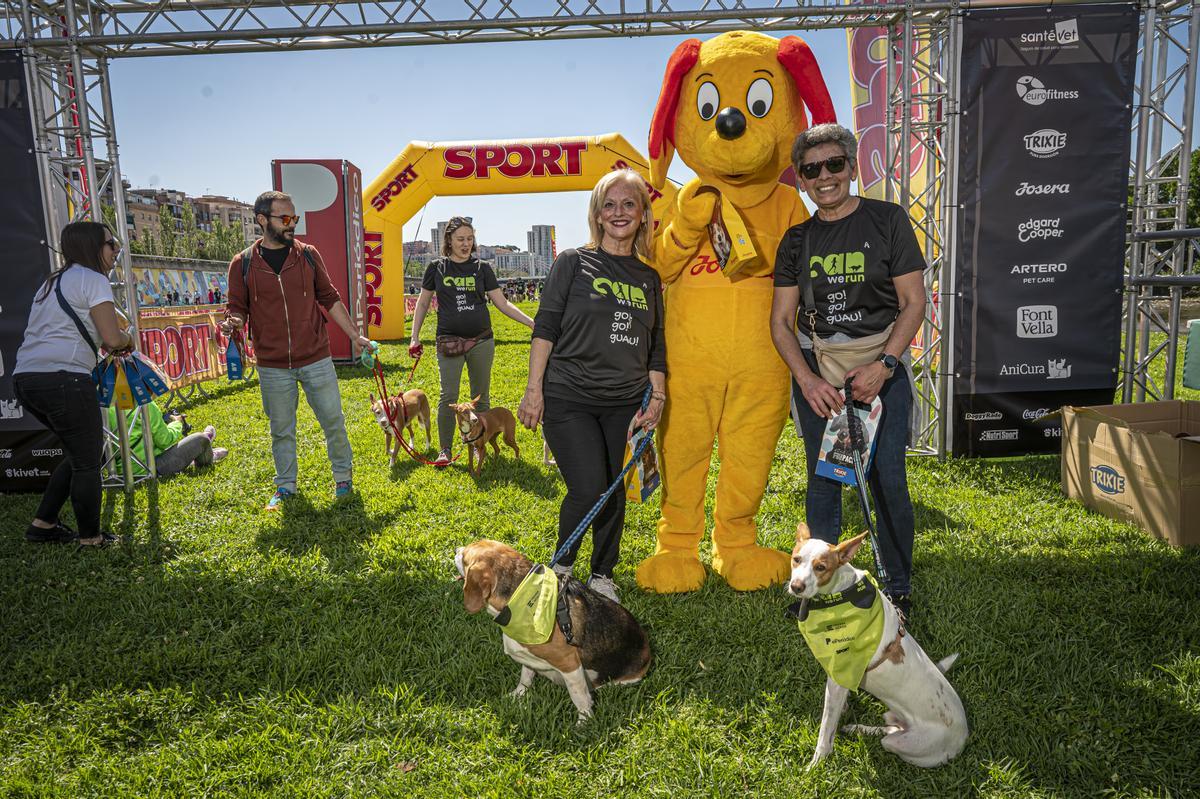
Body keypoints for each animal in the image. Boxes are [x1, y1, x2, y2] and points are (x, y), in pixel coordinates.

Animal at [453, 537, 652, 719]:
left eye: (464, 556)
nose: (456, 549)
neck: (519, 597)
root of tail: (647, 648)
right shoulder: (528, 656)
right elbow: (525, 677)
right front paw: (518, 695)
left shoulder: (569, 664)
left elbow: (580, 698)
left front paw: (584, 723)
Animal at [787, 523, 964, 767]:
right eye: (796, 559)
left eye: (821, 567)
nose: (796, 586)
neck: (840, 594)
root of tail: (963, 738)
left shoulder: (838, 679)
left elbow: (826, 729)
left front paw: (817, 763)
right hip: (891, 717)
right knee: (890, 726)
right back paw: (857, 728)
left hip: (904, 745)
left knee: (889, 736)